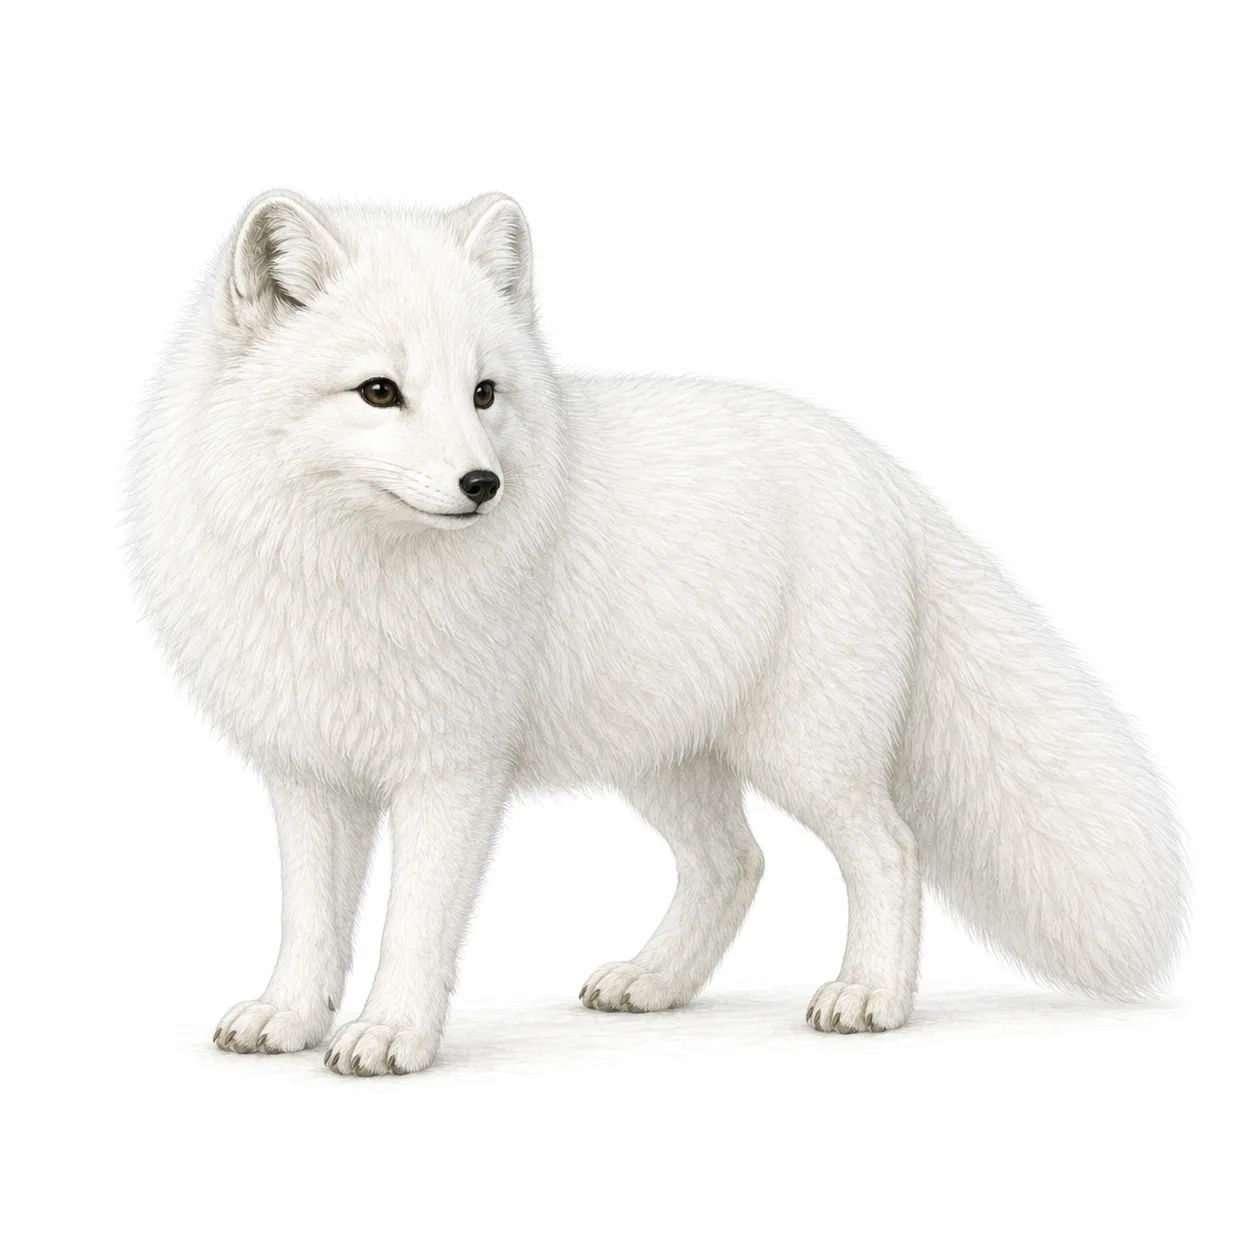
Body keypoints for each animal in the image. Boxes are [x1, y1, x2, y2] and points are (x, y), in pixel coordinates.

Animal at [124, 190, 1187, 1076]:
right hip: (663, 757)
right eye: (379, 391)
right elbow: (309, 920)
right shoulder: (308, 769)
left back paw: (871, 996)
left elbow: (414, 925)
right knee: (737, 862)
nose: (483, 484)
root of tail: (886, 475)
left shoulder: (453, 771)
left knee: (890, 847)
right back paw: (656, 981)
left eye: (484, 393)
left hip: (806, 750)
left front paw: (390, 1036)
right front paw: (289, 1017)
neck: (347, 578)